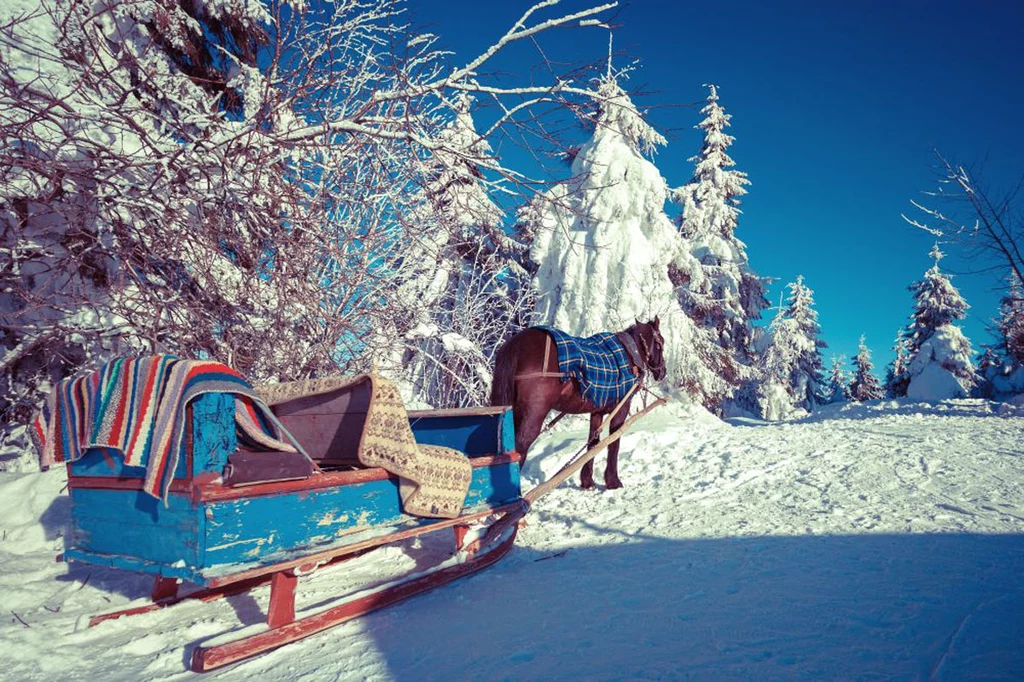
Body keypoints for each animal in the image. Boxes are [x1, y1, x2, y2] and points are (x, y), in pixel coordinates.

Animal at [489, 319, 667, 489]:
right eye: (661, 342)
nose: (663, 371)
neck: (630, 355)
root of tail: (516, 345)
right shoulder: (621, 408)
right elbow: (613, 443)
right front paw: (613, 482)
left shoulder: (597, 411)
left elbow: (593, 443)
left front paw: (587, 481)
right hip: (533, 414)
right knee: (519, 448)